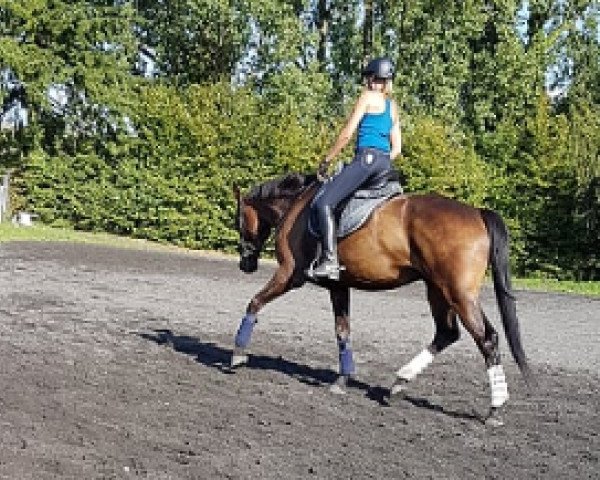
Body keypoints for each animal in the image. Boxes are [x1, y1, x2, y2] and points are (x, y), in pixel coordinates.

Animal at [232, 172, 532, 424]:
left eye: (238, 221)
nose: (245, 265)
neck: (298, 204)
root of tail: (477, 213)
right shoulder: (338, 286)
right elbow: (343, 331)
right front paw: (343, 380)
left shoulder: (288, 276)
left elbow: (254, 303)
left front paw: (237, 354)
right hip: (438, 290)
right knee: (447, 333)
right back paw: (399, 383)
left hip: (458, 294)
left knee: (487, 339)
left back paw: (494, 408)